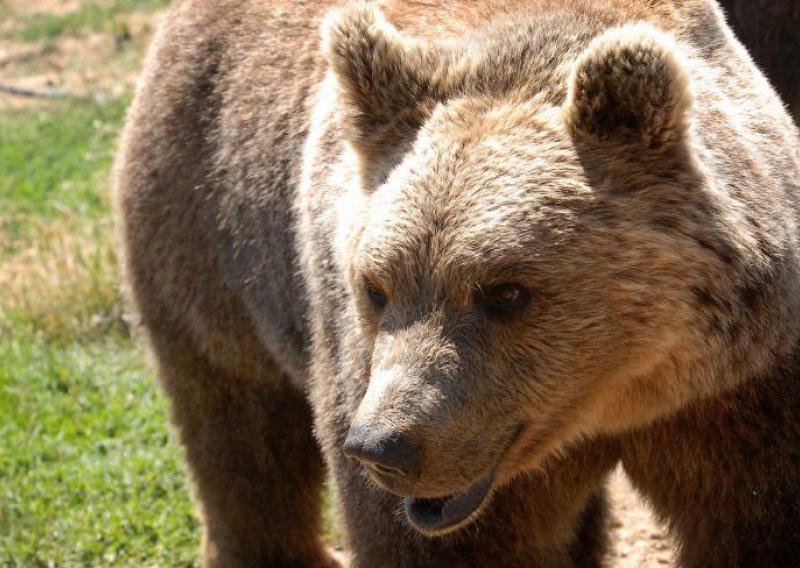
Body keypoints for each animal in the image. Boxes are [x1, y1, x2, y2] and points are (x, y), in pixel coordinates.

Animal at [112, 0, 800, 564]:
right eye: (375, 287)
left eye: (505, 291)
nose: (384, 448)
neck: (616, 394)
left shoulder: (736, 392)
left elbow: (756, 518)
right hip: (206, 225)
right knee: (238, 430)